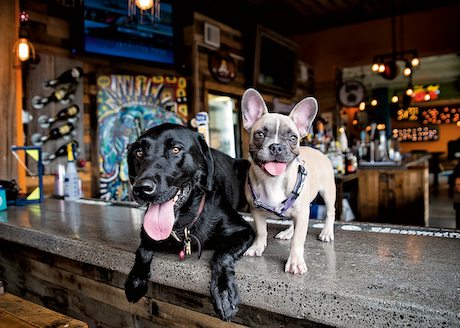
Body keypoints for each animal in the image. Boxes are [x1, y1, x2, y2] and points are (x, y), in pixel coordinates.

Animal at [126, 122, 255, 320]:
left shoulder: (244, 230)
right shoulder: (146, 232)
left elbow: (221, 254)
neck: (183, 223)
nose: (141, 189)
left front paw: (223, 292)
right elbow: (142, 250)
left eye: (176, 149)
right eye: (138, 153)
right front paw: (135, 280)